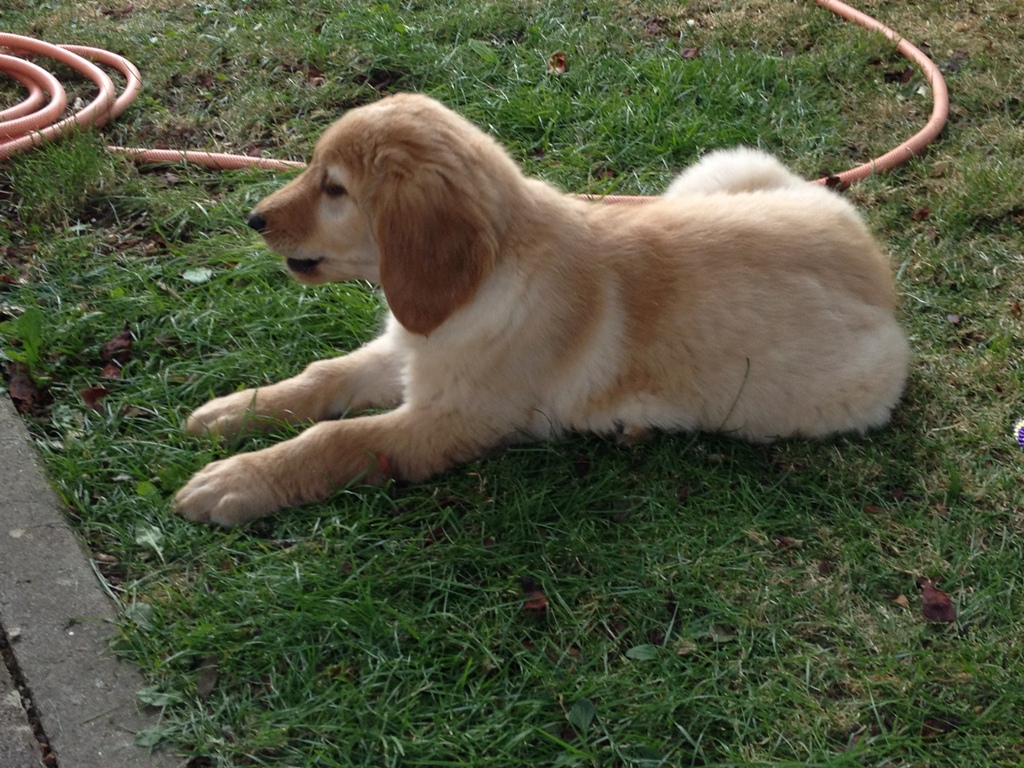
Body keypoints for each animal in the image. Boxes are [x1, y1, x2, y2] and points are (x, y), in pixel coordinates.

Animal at [173, 93, 910, 526]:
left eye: (334, 190)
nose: (254, 219)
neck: (490, 275)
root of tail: (872, 257)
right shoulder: (411, 346)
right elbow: (323, 375)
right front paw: (236, 410)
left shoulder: (448, 420)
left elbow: (337, 440)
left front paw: (235, 481)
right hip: (722, 169)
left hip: (812, 398)